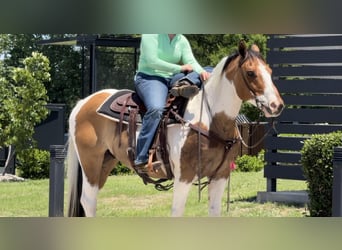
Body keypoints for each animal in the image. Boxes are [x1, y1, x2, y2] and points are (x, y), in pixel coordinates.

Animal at [66, 41, 284, 217]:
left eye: (270, 72)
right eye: (251, 72)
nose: (277, 105)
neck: (209, 119)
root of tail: (84, 102)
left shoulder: (220, 176)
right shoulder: (184, 177)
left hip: (105, 162)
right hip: (91, 162)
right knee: (88, 201)